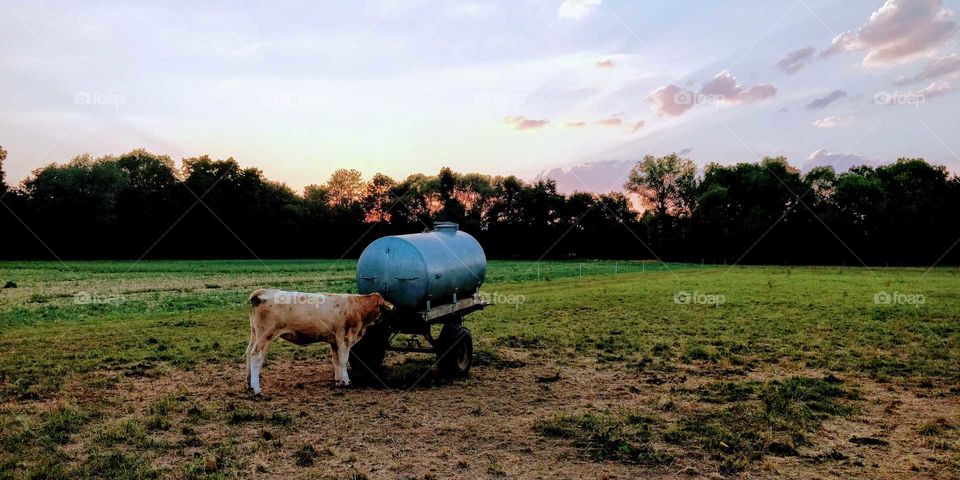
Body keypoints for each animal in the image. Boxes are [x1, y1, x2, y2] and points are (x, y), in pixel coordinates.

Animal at [246, 288, 392, 394]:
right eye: (382, 309)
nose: (384, 323)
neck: (356, 306)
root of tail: (263, 292)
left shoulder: (334, 342)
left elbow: (336, 361)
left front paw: (338, 381)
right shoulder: (344, 340)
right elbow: (343, 361)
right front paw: (346, 381)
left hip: (254, 334)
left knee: (248, 353)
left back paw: (248, 384)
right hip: (264, 335)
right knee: (256, 356)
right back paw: (256, 389)